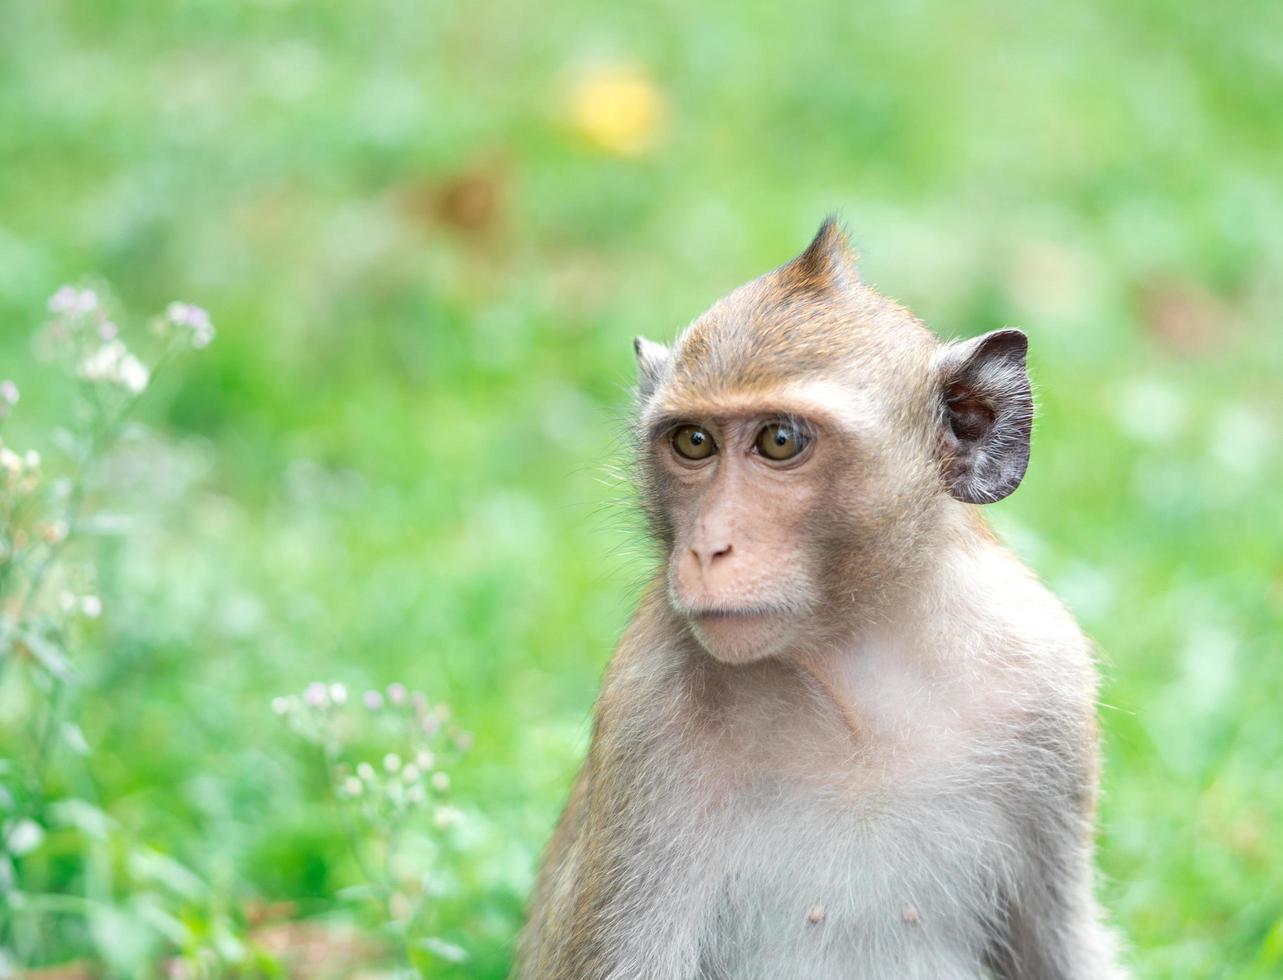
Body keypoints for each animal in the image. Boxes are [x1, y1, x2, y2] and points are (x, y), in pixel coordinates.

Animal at [515, 221, 1129, 980]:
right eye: (694, 441)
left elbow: (1056, 946)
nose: (707, 548)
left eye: (779, 440)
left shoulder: (1049, 683)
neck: (858, 665)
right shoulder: (645, 710)